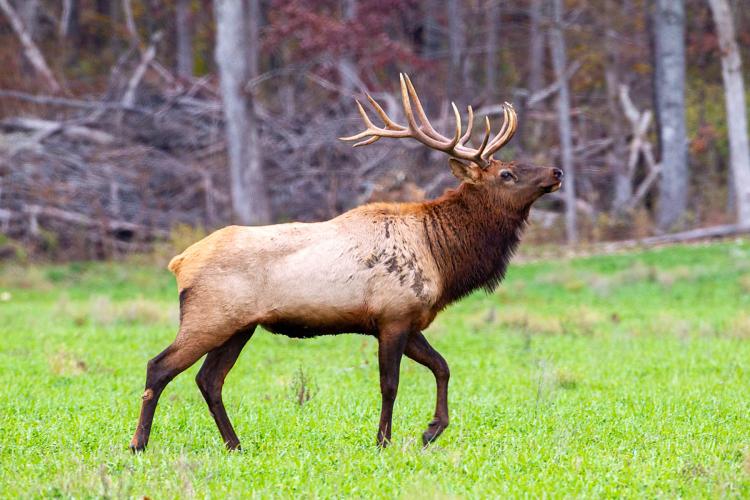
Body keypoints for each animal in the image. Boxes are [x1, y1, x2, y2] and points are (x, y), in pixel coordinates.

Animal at [129, 74, 563, 452]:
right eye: (507, 173)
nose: (556, 171)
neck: (442, 256)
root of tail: (179, 262)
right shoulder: (393, 316)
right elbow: (391, 384)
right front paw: (384, 440)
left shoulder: (407, 320)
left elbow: (442, 366)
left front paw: (431, 429)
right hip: (210, 317)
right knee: (159, 366)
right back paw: (139, 443)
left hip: (239, 326)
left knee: (209, 379)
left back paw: (234, 444)